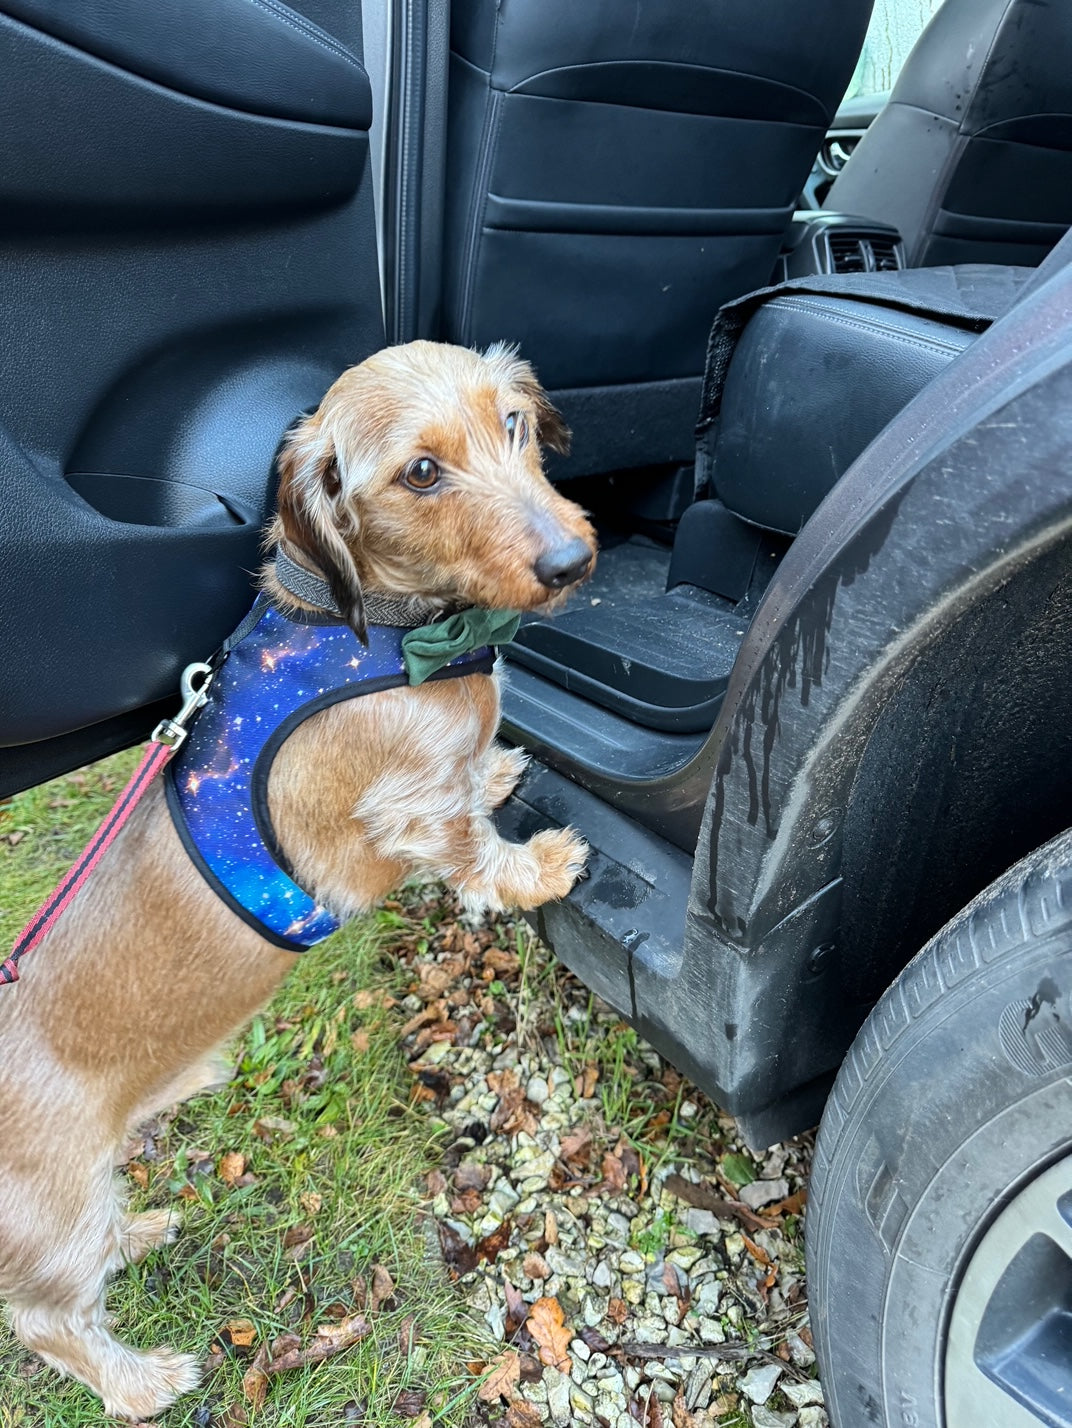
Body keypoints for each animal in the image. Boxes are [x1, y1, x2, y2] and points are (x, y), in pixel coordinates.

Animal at [0, 337, 596, 1416]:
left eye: (513, 422)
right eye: (420, 472)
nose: (570, 561)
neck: (381, 629)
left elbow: (478, 774)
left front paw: (496, 767)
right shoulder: (411, 809)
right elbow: (473, 847)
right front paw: (536, 867)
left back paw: (139, 1230)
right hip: (54, 1221)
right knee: (50, 1324)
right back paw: (144, 1384)